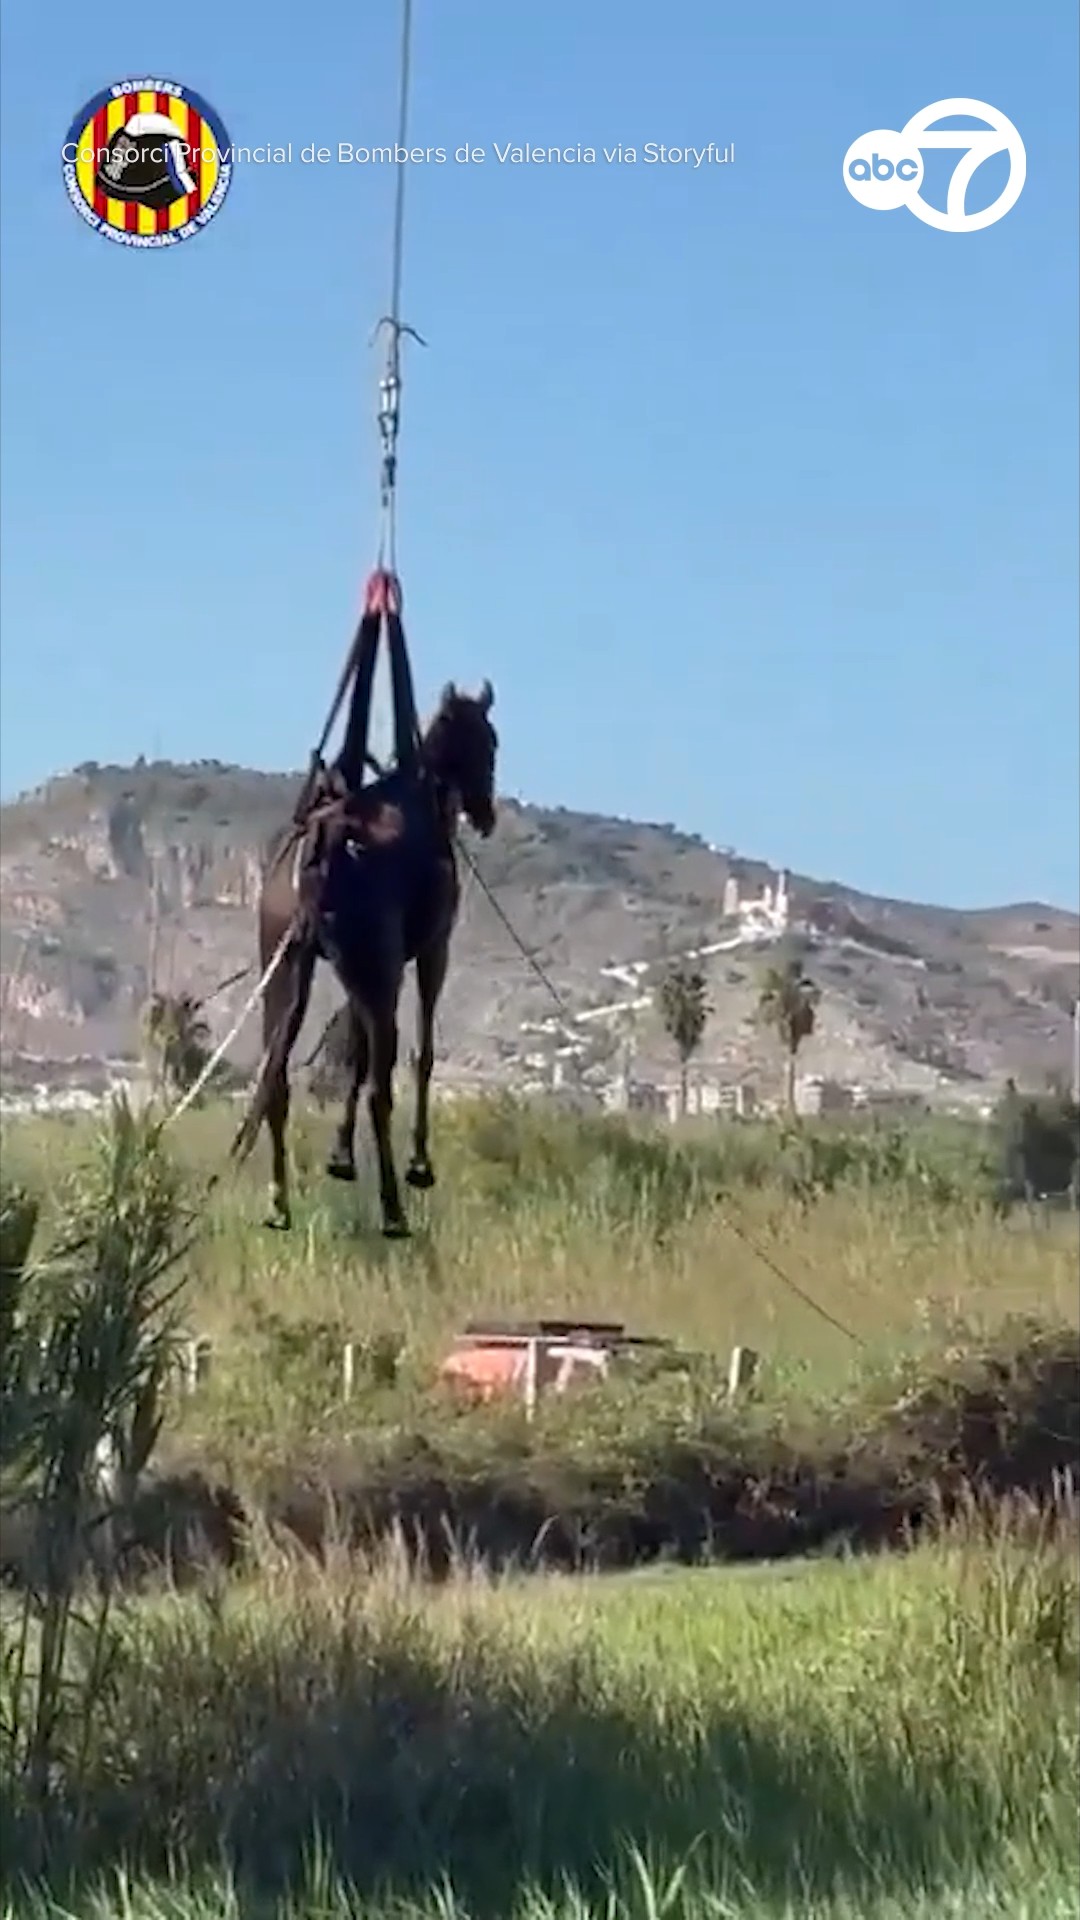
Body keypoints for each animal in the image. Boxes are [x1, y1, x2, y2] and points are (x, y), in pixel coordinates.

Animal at [234, 679, 498, 1236]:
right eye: (490, 742)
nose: (486, 814)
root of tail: (324, 848)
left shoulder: (362, 972)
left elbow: (352, 1052)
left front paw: (340, 1155)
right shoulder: (430, 952)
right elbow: (421, 1053)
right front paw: (420, 1162)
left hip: (288, 969)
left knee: (276, 1080)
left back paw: (278, 1202)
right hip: (375, 972)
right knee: (381, 1087)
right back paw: (394, 1208)